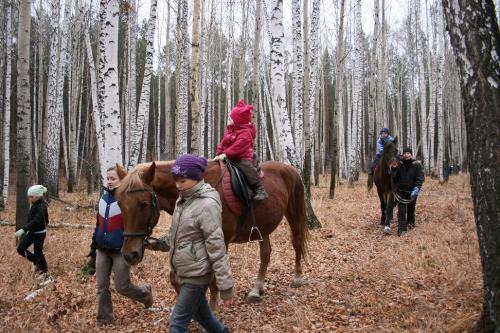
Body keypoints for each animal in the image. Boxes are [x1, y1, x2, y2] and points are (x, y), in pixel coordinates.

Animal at [115, 160, 308, 304]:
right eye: (120, 204)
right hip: (262, 226)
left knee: (297, 241)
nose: (129, 254)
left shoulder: (219, 242)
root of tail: (289, 168)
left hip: (293, 213)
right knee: (266, 253)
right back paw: (256, 289)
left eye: (143, 204)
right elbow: (176, 279)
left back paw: (298, 277)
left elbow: (214, 281)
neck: (199, 189)